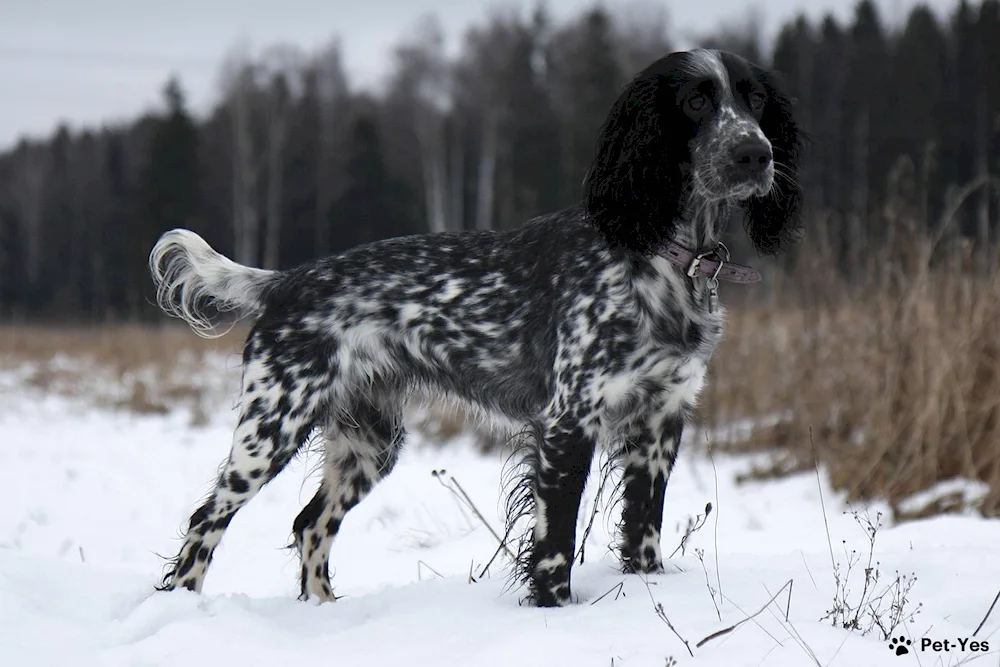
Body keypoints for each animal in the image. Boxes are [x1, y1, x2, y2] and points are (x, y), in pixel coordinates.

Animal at [150, 49, 804, 608]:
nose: (755, 154)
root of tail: (285, 281)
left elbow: (644, 534)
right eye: (695, 101)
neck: (665, 257)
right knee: (205, 522)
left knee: (311, 524)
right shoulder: (569, 422)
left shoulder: (662, 422)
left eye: (754, 99)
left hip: (370, 443)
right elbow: (553, 549)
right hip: (271, 428)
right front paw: (554, 611)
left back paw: (323, 610)